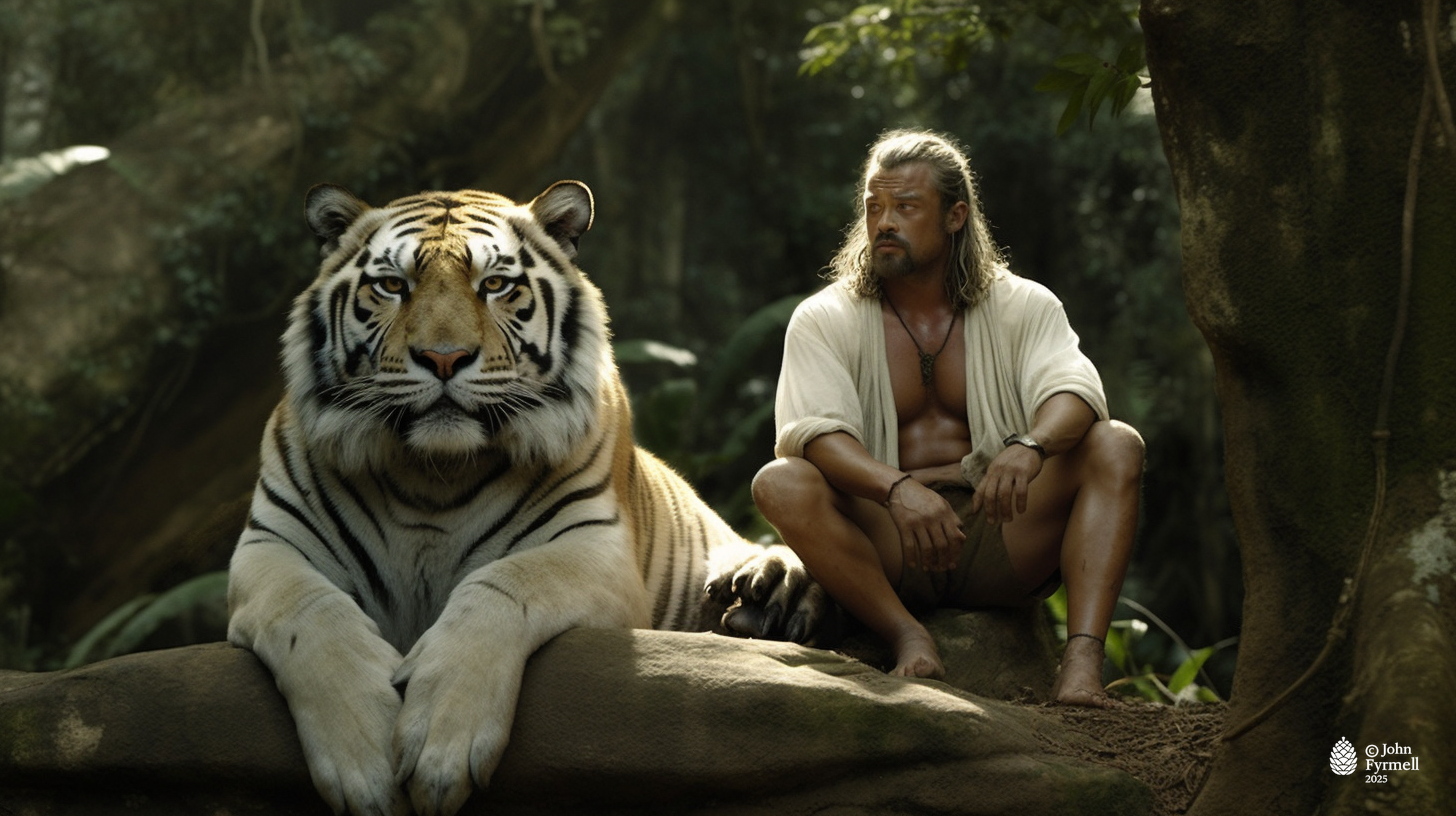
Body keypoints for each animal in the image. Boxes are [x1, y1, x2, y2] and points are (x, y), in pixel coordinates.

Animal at [226, 180, 831, 816]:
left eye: (495, 285)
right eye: (393, 285)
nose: (444, 358)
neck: (432, 474)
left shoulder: (594, 548)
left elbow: (502, 586)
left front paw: (441, 750)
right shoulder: (271, 547)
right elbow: (310, 612)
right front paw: (365, 765)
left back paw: (764, 594)